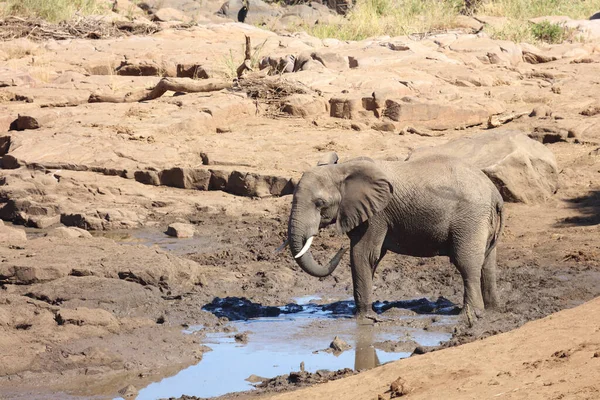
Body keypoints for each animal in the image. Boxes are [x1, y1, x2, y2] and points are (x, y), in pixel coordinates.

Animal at [284, 154, 504, 322]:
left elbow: (363, 254)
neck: (342, 169)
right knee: (487, 263)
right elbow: (371, 258)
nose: (340, 248)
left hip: (470, 220)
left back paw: (469, 316)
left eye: (320, 203)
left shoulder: (376, 215)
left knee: (466, 263)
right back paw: (492, 311)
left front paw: (365, 318)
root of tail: (495, 194)